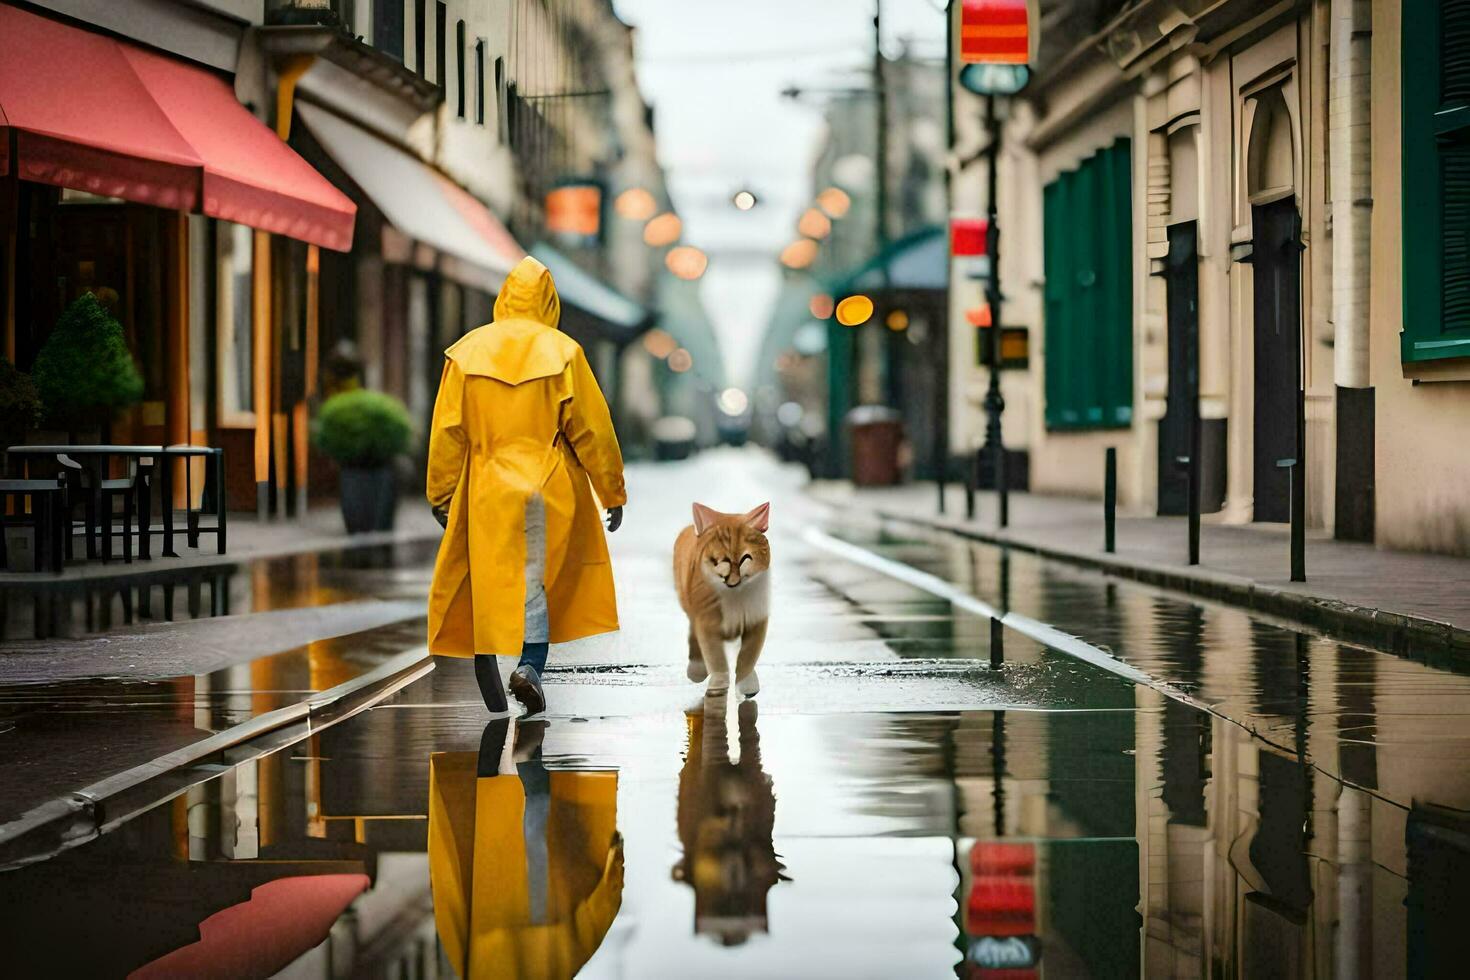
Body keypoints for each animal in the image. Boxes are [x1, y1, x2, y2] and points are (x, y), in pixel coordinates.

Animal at [673, 505, 776, 696]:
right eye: (719, 561)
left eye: (745, 558)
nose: (732, 580)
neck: (734, 597)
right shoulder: (707, 622)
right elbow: (716, 657)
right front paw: (718, 685)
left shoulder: (756, 620)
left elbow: (749, 654)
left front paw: (747, 685)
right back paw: (697, 670)